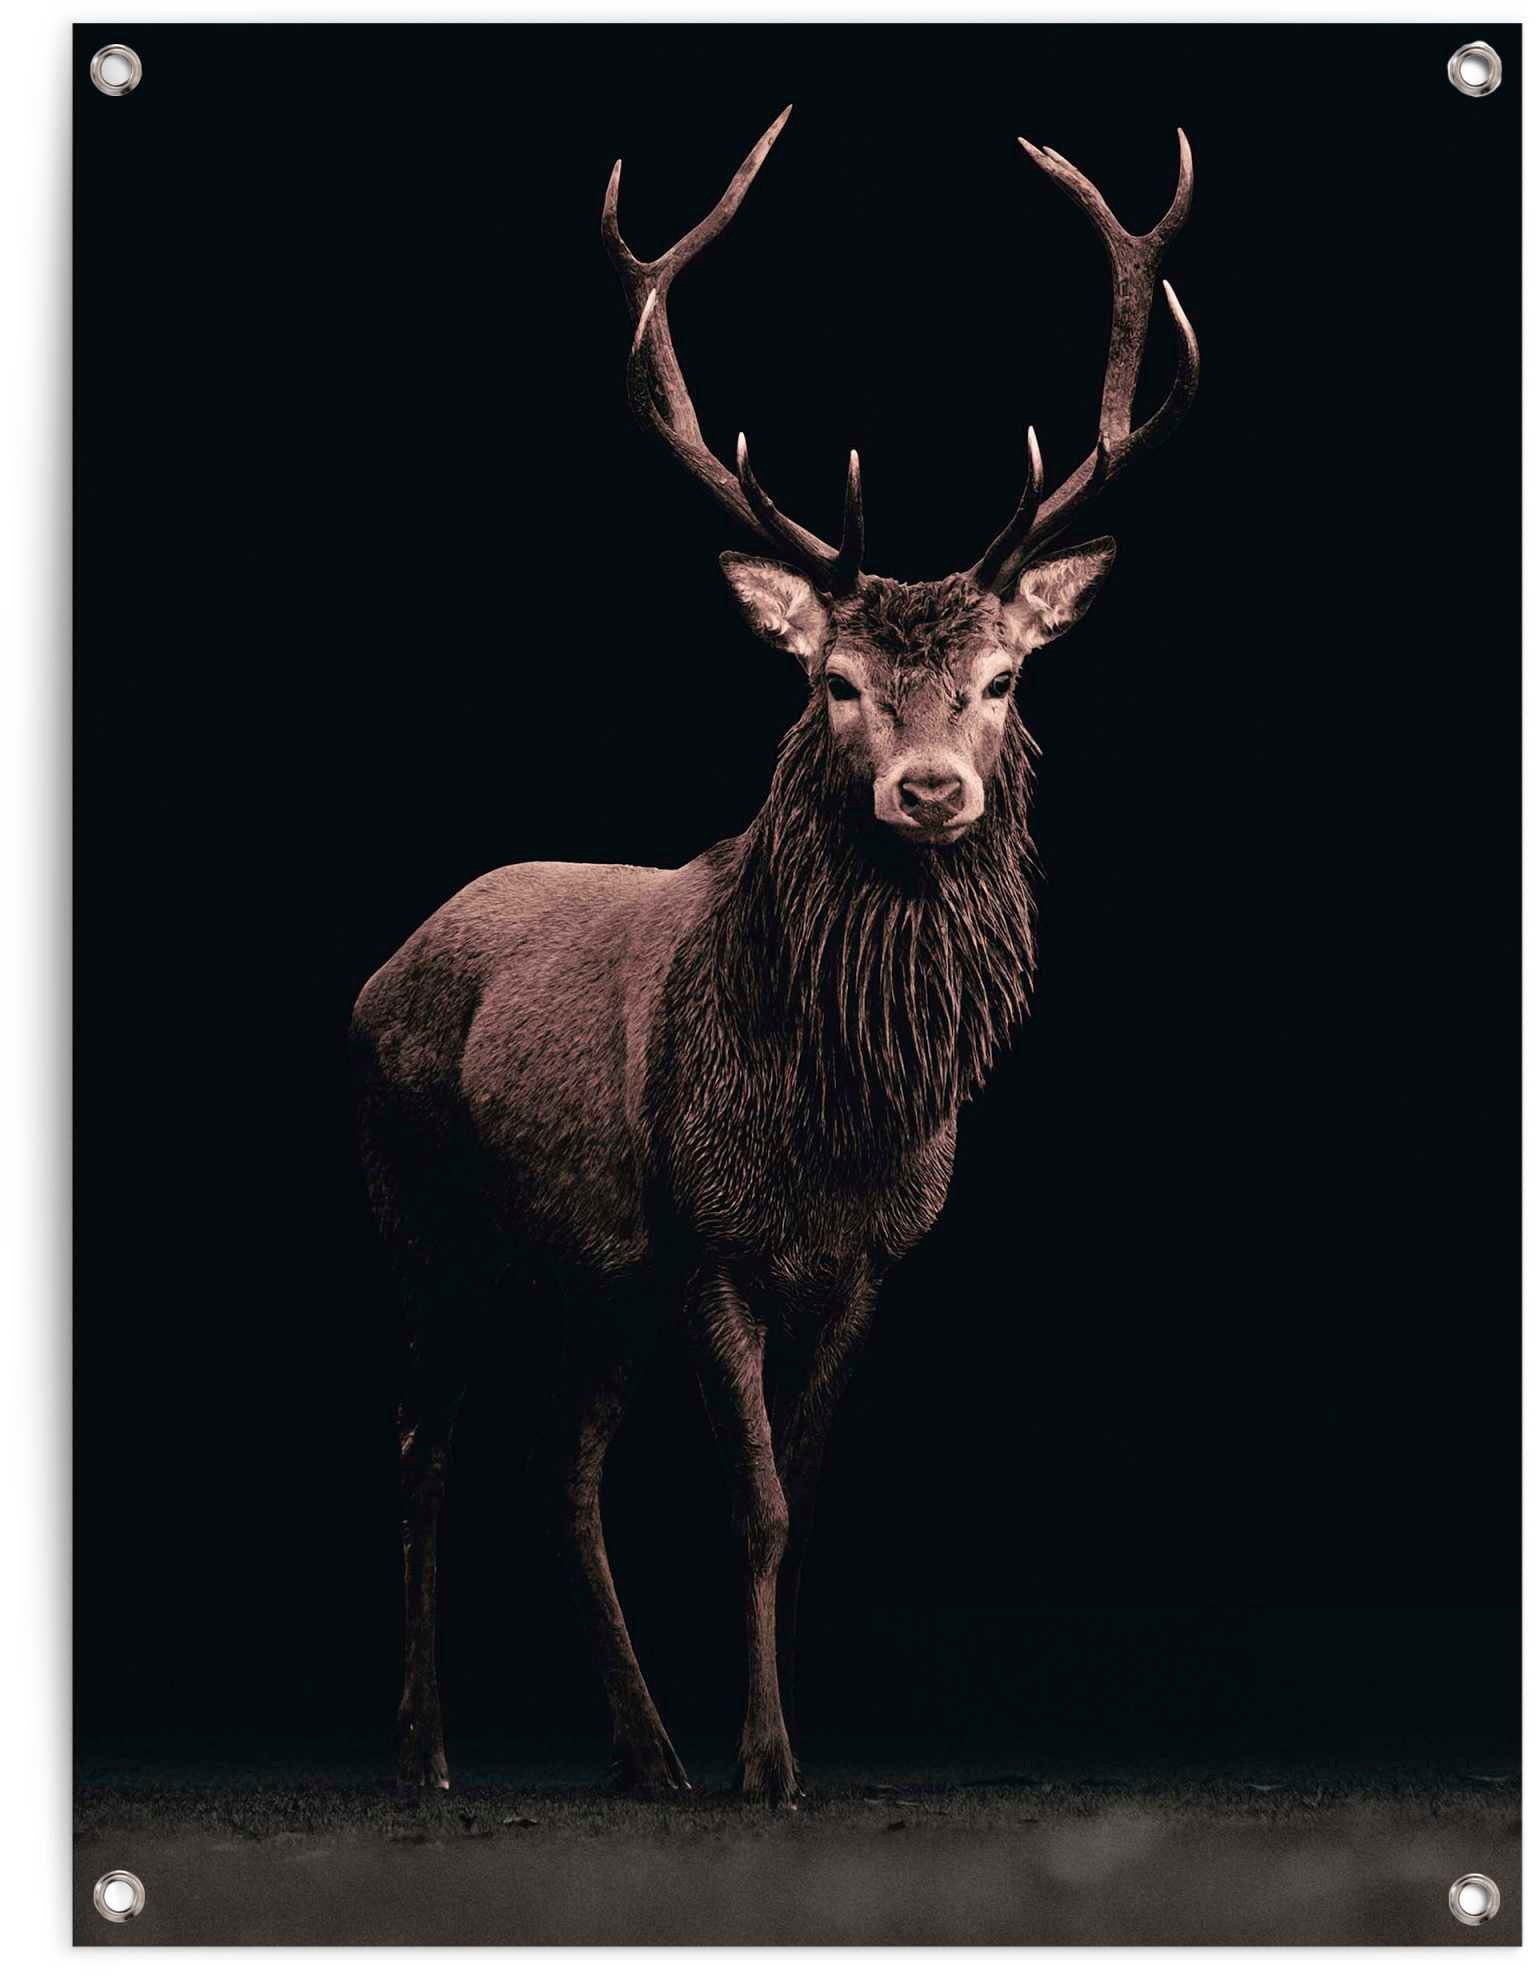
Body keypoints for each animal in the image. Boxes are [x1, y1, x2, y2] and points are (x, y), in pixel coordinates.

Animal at [351, 105, 1198, 1807]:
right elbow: (749, 1501)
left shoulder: (865, 1264)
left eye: (1001, 678)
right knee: (422, 1442)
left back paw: (643, 1748)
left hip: (591, 1269)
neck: (836, 1126)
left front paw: (764, 1736)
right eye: (835, 681)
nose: (930, 791)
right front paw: (768, 1759)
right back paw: (428, 1748)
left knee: (563, 1459)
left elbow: (797, 1509)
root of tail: (375, 975)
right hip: (422, 1218)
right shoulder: (713, 1240)